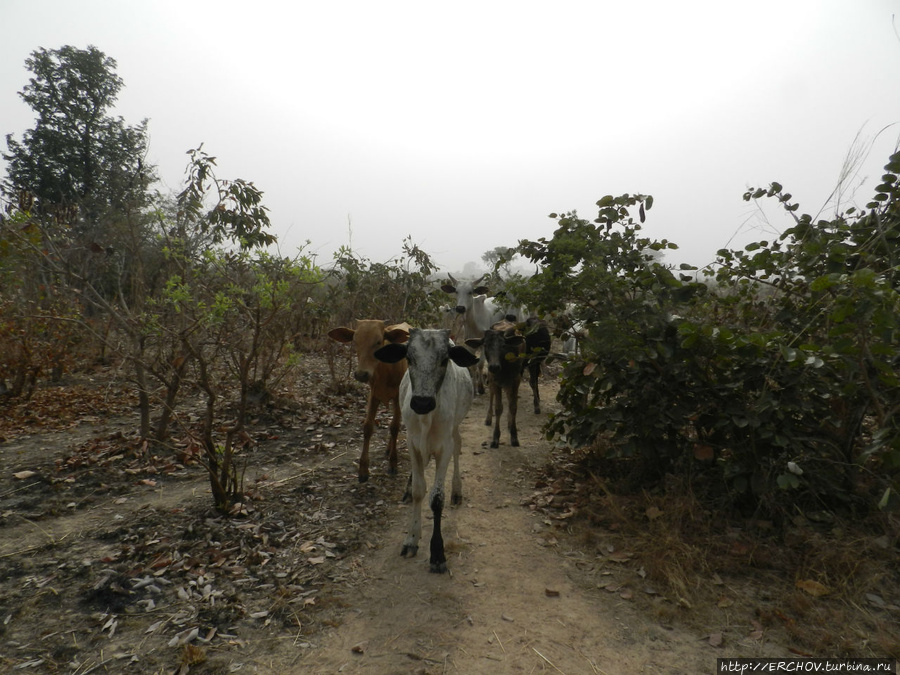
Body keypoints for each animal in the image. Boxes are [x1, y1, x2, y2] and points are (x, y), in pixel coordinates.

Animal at [326, 320, 412, 484]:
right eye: (355, 341)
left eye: (378, 341)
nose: (361, 374)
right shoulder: (373, 395)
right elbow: (367, 428)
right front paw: (363, 470)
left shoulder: (398, 396)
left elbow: (394, 427)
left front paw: (393, 463)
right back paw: (388, 448)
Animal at [374, 330, 482, 572]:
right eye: (409, 358)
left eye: (444, 360)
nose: (422, 402)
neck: (426, 418)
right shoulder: (413, 443)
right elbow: (418, 491)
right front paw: (412, 539)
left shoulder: (444, 446)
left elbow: (436, 498)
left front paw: (437, 552)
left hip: (455, 430)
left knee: (458, 448)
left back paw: (457, 491)